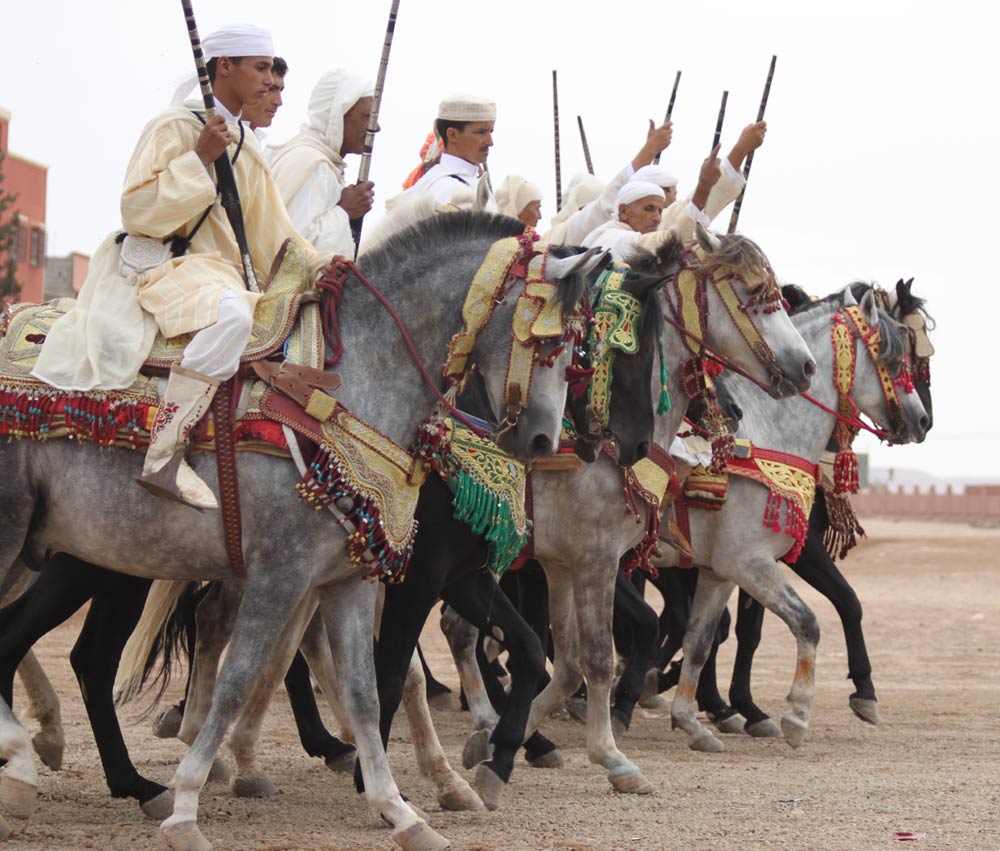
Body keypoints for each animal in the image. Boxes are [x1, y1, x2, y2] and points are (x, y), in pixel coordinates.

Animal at [0, 215, 596, 851]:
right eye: (552, 343)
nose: (544, 440)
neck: (345, 390)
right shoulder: (283, 574)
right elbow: (241, 678)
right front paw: (186, 808)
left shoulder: (350, 579)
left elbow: (365, 690)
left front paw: (401, 811)